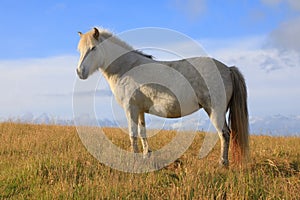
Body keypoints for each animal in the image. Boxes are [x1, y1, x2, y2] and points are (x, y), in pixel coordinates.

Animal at [76, 27, 250, 167]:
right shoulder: (140, 110)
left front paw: (134, 160)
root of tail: (228, 69)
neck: (127, 67)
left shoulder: (130, 108)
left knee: (224, 134)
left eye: (93, 48)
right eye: (79, 50)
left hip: (215, 112)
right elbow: (142, 133)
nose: (79, 72)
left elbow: (133, 134)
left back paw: (223, 163)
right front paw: (145, 156)